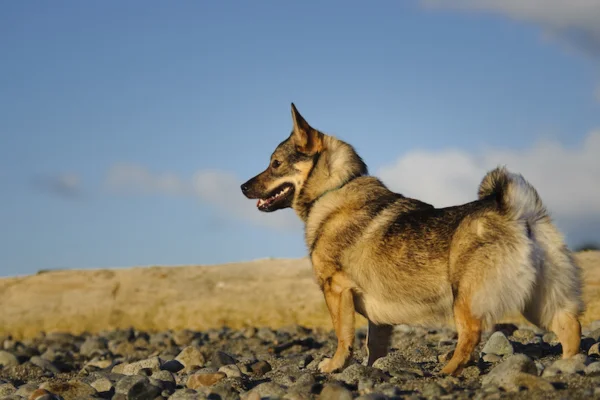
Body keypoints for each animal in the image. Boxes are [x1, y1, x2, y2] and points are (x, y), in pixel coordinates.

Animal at [241, 102, 584, 376]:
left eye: (275, 164)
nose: (243, 187)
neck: (334, 189)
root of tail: (517, 211)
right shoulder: (376, 318)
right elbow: (374, 347)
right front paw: (371, 369)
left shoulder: (336, 290)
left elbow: (343, 337)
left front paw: (334, 365)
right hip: (540, 301)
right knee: (571, 328)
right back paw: (567, 367)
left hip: (466, 297)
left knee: (470, 336)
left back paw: (447, 371)